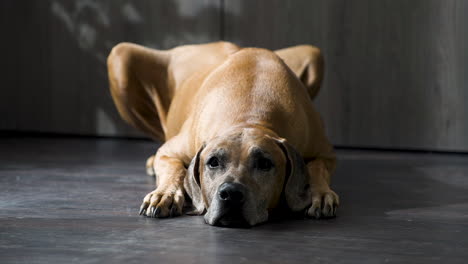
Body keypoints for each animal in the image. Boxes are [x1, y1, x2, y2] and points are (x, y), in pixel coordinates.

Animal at [108, 41, 338, 227]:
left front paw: (321, 193)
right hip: (121, 56)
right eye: (213, 162)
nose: (231, 194)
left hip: (314, 54)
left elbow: (318, 167)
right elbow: (174, 168)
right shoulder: (171, 150)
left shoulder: (324, 151)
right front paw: (166, 194)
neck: (249, 115)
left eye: (265, 163)